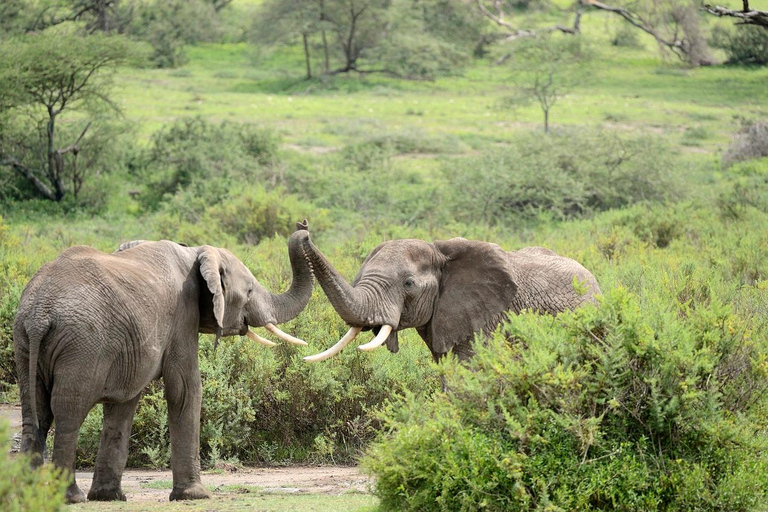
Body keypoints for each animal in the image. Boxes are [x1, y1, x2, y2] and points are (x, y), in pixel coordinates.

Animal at [12, 222, 312, 502]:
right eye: (249, 291)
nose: (304, 228)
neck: (196, 253)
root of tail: (40, 313)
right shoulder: (183, 314)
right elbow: (185, 389)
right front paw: (194, 495)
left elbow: (123, 405)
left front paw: (109, 496)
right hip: (82, 344)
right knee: (68, 414)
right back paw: (71, 496)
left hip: (24, 342)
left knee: (34, 413)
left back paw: (28, 494)